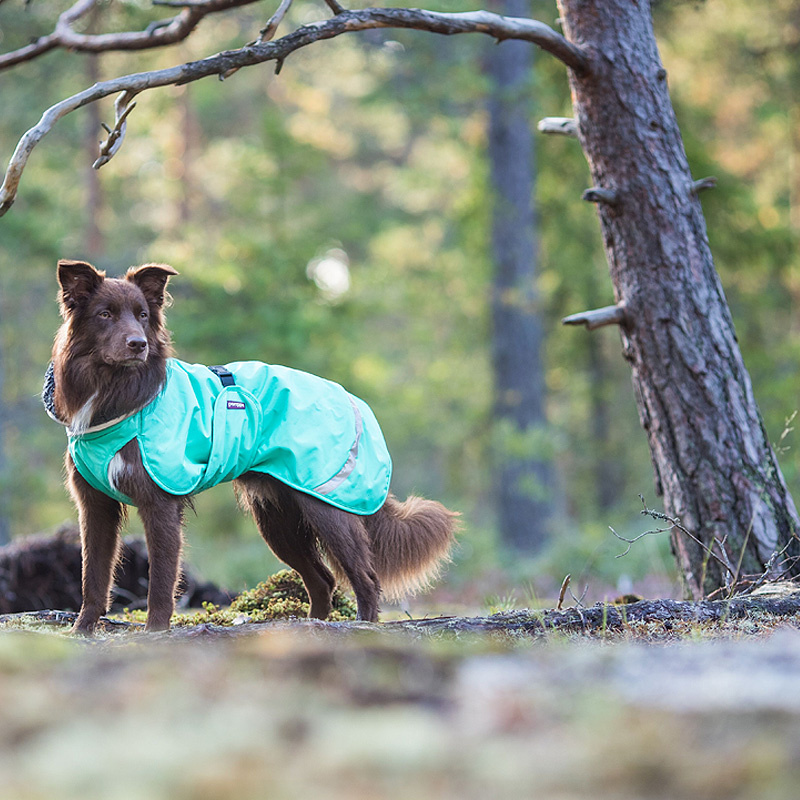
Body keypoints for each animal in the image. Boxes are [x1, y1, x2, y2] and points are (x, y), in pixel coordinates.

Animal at [47, 260, 456, 636]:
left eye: (143, 315)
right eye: (105, 314)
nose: (138, 345)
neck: (117, 393)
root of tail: (353, 400)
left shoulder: (160, 502)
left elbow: (161, 583)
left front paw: (155, 636)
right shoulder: (96, 506)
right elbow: (92, 577)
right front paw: (81, 631)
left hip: (327, 507)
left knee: (366, 578)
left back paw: (362, 628)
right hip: (279, 518)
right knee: (323, 579)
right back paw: (312, 629)